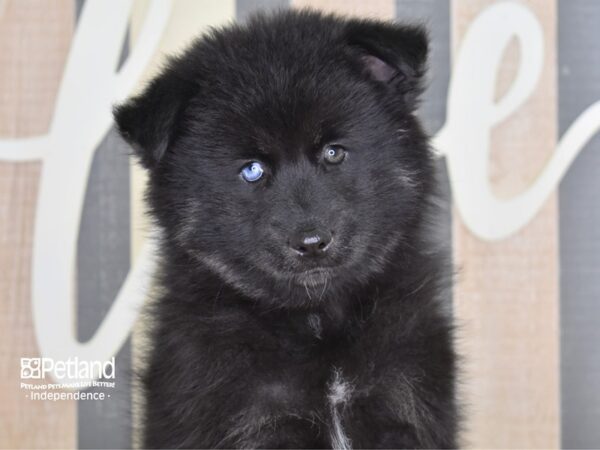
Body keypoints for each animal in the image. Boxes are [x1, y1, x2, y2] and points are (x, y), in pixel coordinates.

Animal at [115, 8, 458, 448]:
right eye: (252, 170)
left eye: (333, 152)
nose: (311, 243)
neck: (316, 322)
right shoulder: (252, 418)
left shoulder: (404, 401)